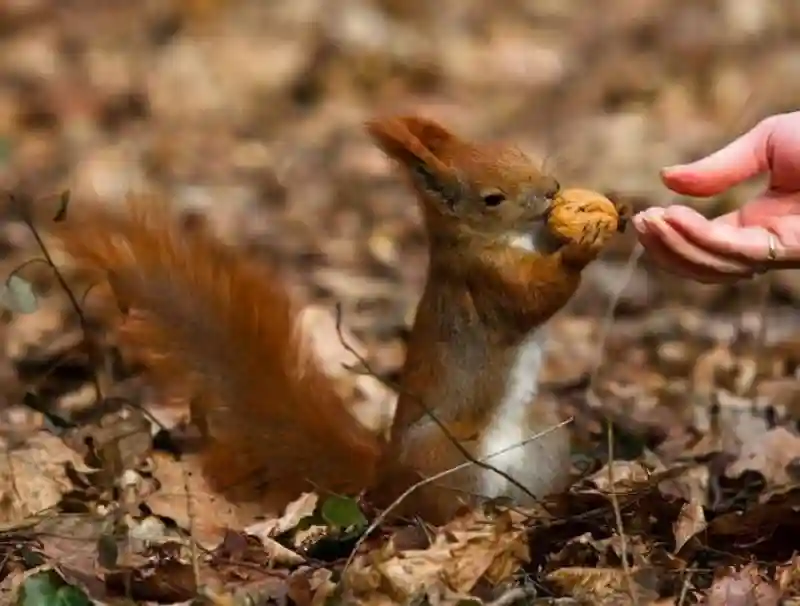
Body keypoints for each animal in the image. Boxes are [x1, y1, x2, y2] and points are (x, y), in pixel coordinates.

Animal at [36, 115, 624, 528]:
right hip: (446, 458)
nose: (551, 189)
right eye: (492, 198)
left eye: (518, 152)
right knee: (433, 511)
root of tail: (384, 478)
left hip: (543, 441)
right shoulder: (484, 283)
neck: (504, 239)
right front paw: (582, 247)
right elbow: (533, 298)